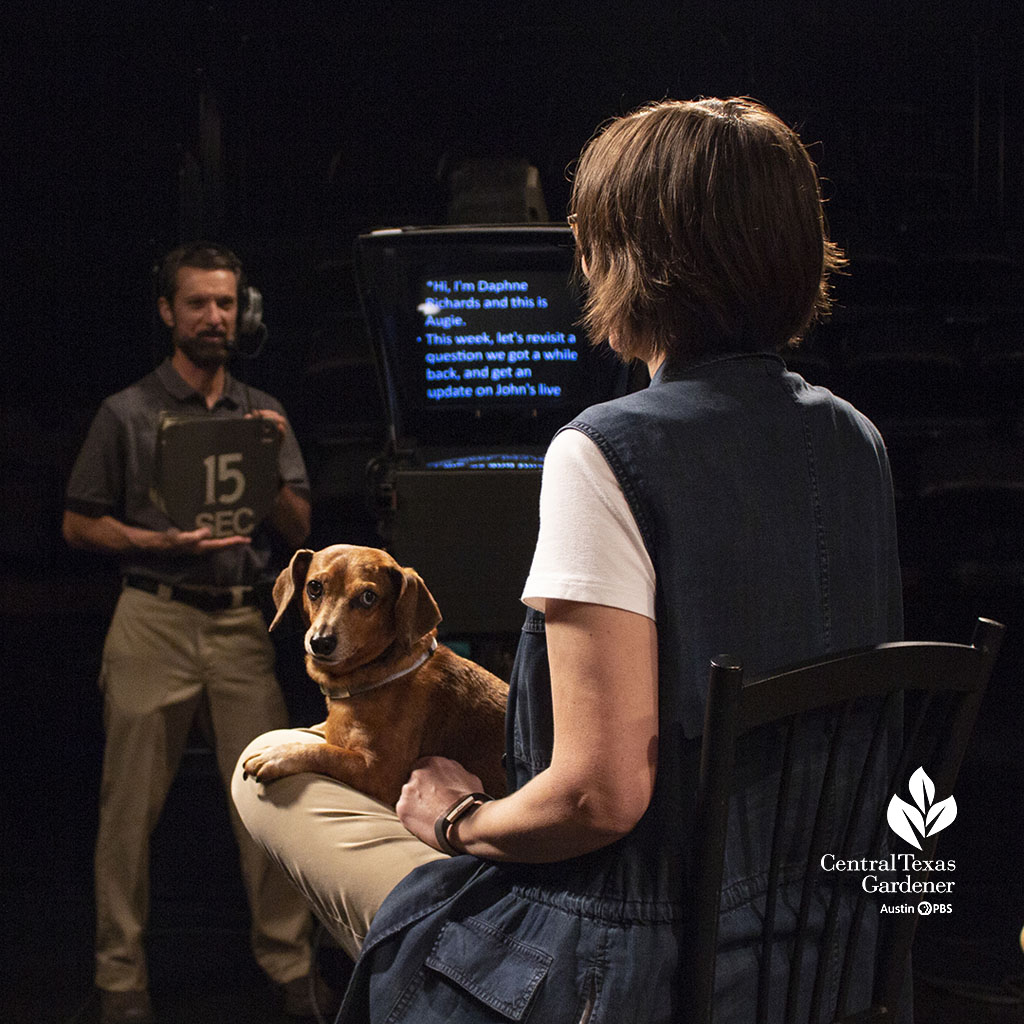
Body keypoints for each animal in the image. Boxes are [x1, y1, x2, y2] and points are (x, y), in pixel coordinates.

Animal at [243, 548, 507, 802]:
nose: (320, 642)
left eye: (368, 597)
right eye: (314, 587)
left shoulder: (380, 773)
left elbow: (326, 752)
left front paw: (279, 754)